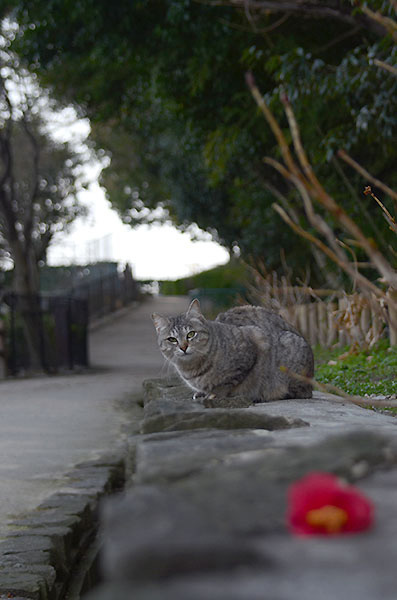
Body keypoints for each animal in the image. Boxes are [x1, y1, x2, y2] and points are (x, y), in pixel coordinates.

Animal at [152, 300, 312, 404]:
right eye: (172, 339)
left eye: (191, 334)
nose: (183, 347)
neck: (192, 369)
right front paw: (202, 393)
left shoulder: (254, 341)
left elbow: (228, 382)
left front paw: (214, 394)